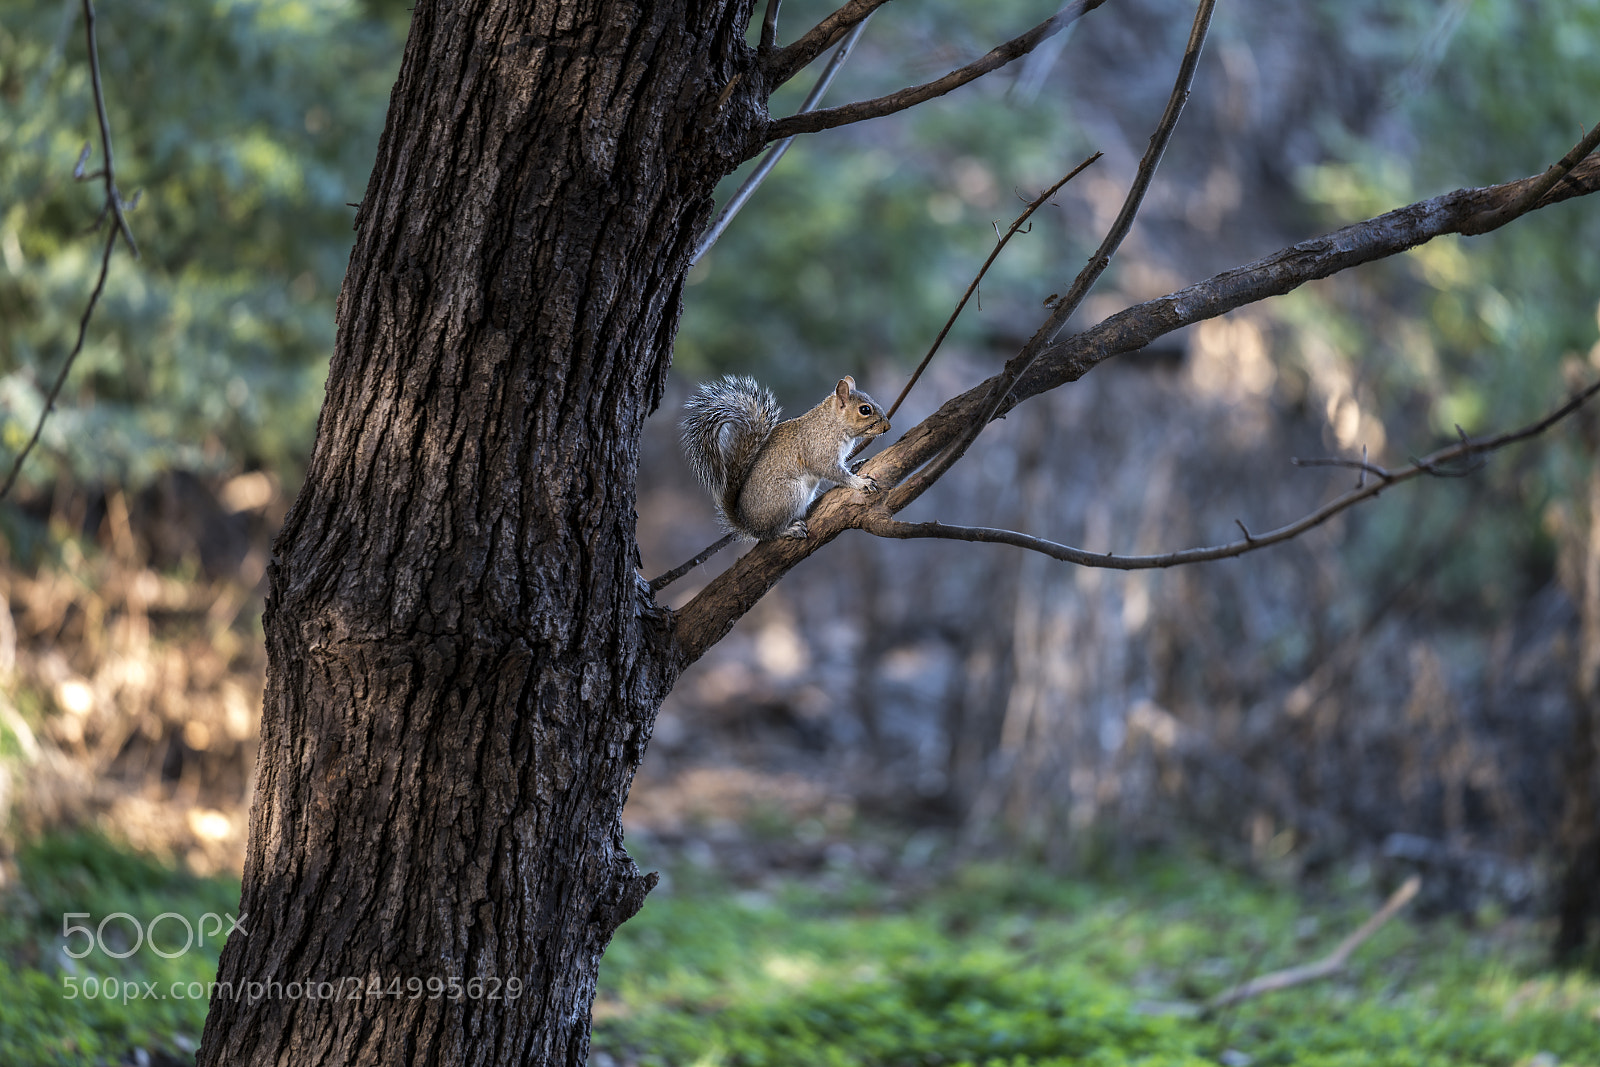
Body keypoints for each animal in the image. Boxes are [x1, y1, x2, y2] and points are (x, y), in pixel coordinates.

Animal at [681, 375, 891, 541]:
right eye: (865, 410)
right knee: (769, 534)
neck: (833, 423)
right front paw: (859, 482)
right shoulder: (819, 451)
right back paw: (789, 530)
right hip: (789, 493)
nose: (888, 427)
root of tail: (747, 524)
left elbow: (843, 466)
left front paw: (857, 464)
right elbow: (835, 473)